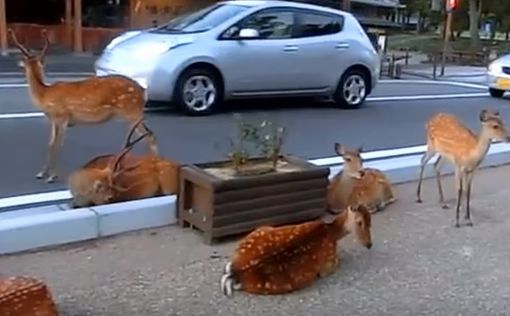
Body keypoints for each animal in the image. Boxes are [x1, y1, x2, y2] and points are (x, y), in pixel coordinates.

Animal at [8, 29, 157, 184]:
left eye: (24, 61)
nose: (18, 63)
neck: (44, 94)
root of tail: (143, 92)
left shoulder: (62, 117)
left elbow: (57, 145)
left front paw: (52, 176)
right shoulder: (54, 121)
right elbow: (50, 144)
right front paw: (41, 173)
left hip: (131, 111)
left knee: (149, 136)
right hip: (131, 114)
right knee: (145, 136)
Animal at [219, 205, 370, 296]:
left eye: (370, 222)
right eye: (360, 222)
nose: (369, 244)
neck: (331, 232)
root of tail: (236, 271)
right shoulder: (328, 264)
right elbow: (336, 261)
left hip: (258, 231)